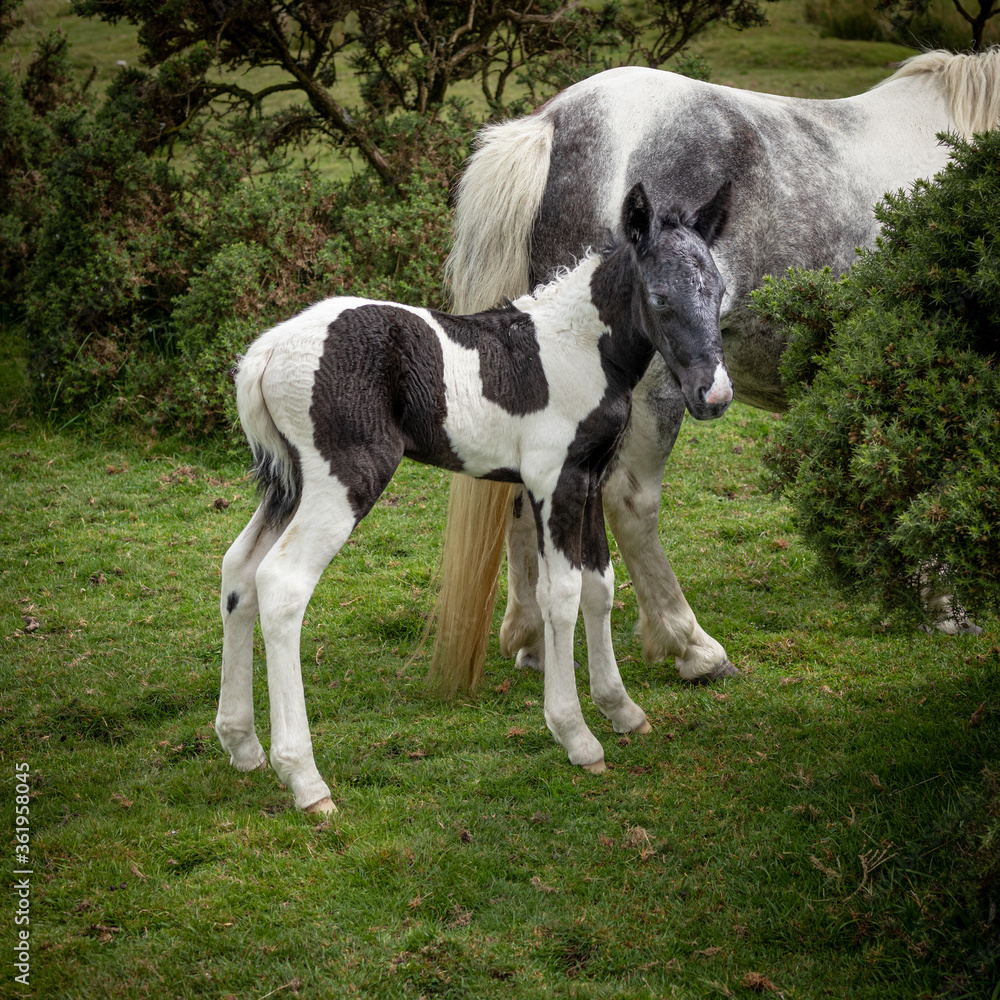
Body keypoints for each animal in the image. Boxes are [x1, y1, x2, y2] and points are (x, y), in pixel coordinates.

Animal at [214, 182, 733, 813]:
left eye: (719, 292)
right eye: (659, 297)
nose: (714, 395)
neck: (579, 349)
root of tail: (267, 351)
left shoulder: (587, 479)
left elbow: (599, 586)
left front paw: (623, 710)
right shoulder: (552, 480)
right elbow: (559, 594)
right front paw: (577, 736)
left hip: (290, 483)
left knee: (239, 572)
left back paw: (242, 745)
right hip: (345, 481)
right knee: (282, 584)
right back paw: (306, 781)